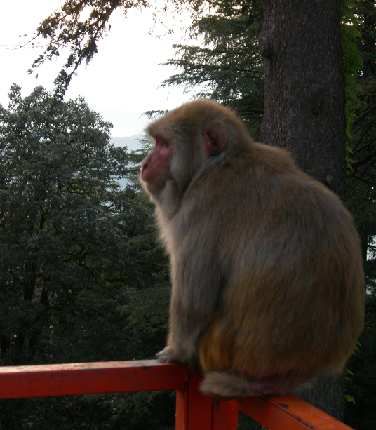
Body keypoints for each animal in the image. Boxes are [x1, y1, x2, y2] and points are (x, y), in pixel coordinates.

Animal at [138, 100, 364, 396]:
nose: (144, 164)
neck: (218, 163)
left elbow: (194, 300)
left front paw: (175, 350)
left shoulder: (201, 205)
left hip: (221, 348)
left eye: (163, 145)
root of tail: (300, 370)